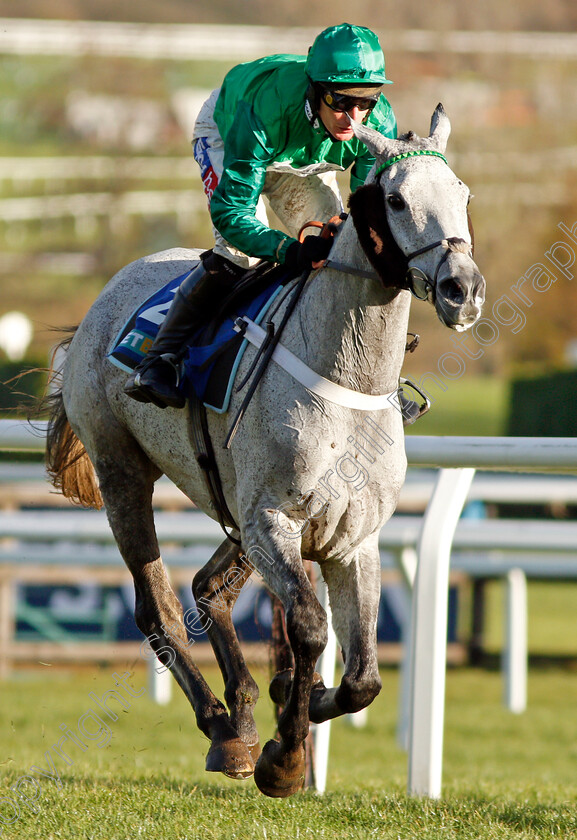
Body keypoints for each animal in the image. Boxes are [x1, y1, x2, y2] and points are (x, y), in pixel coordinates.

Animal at [46, 106, 486, 800]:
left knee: (209, 589)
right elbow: (307, 627)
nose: (462, 289)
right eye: (395, 199)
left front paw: (291, 706)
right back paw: (222, 723)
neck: (347, 381)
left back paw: (245, 713)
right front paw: (285, 758)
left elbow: (362, 677)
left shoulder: (349, 536)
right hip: (123, 471)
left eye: (464, 196)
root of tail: (109, 291)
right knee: (158, 606)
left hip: (234, 506)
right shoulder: (273, 519)